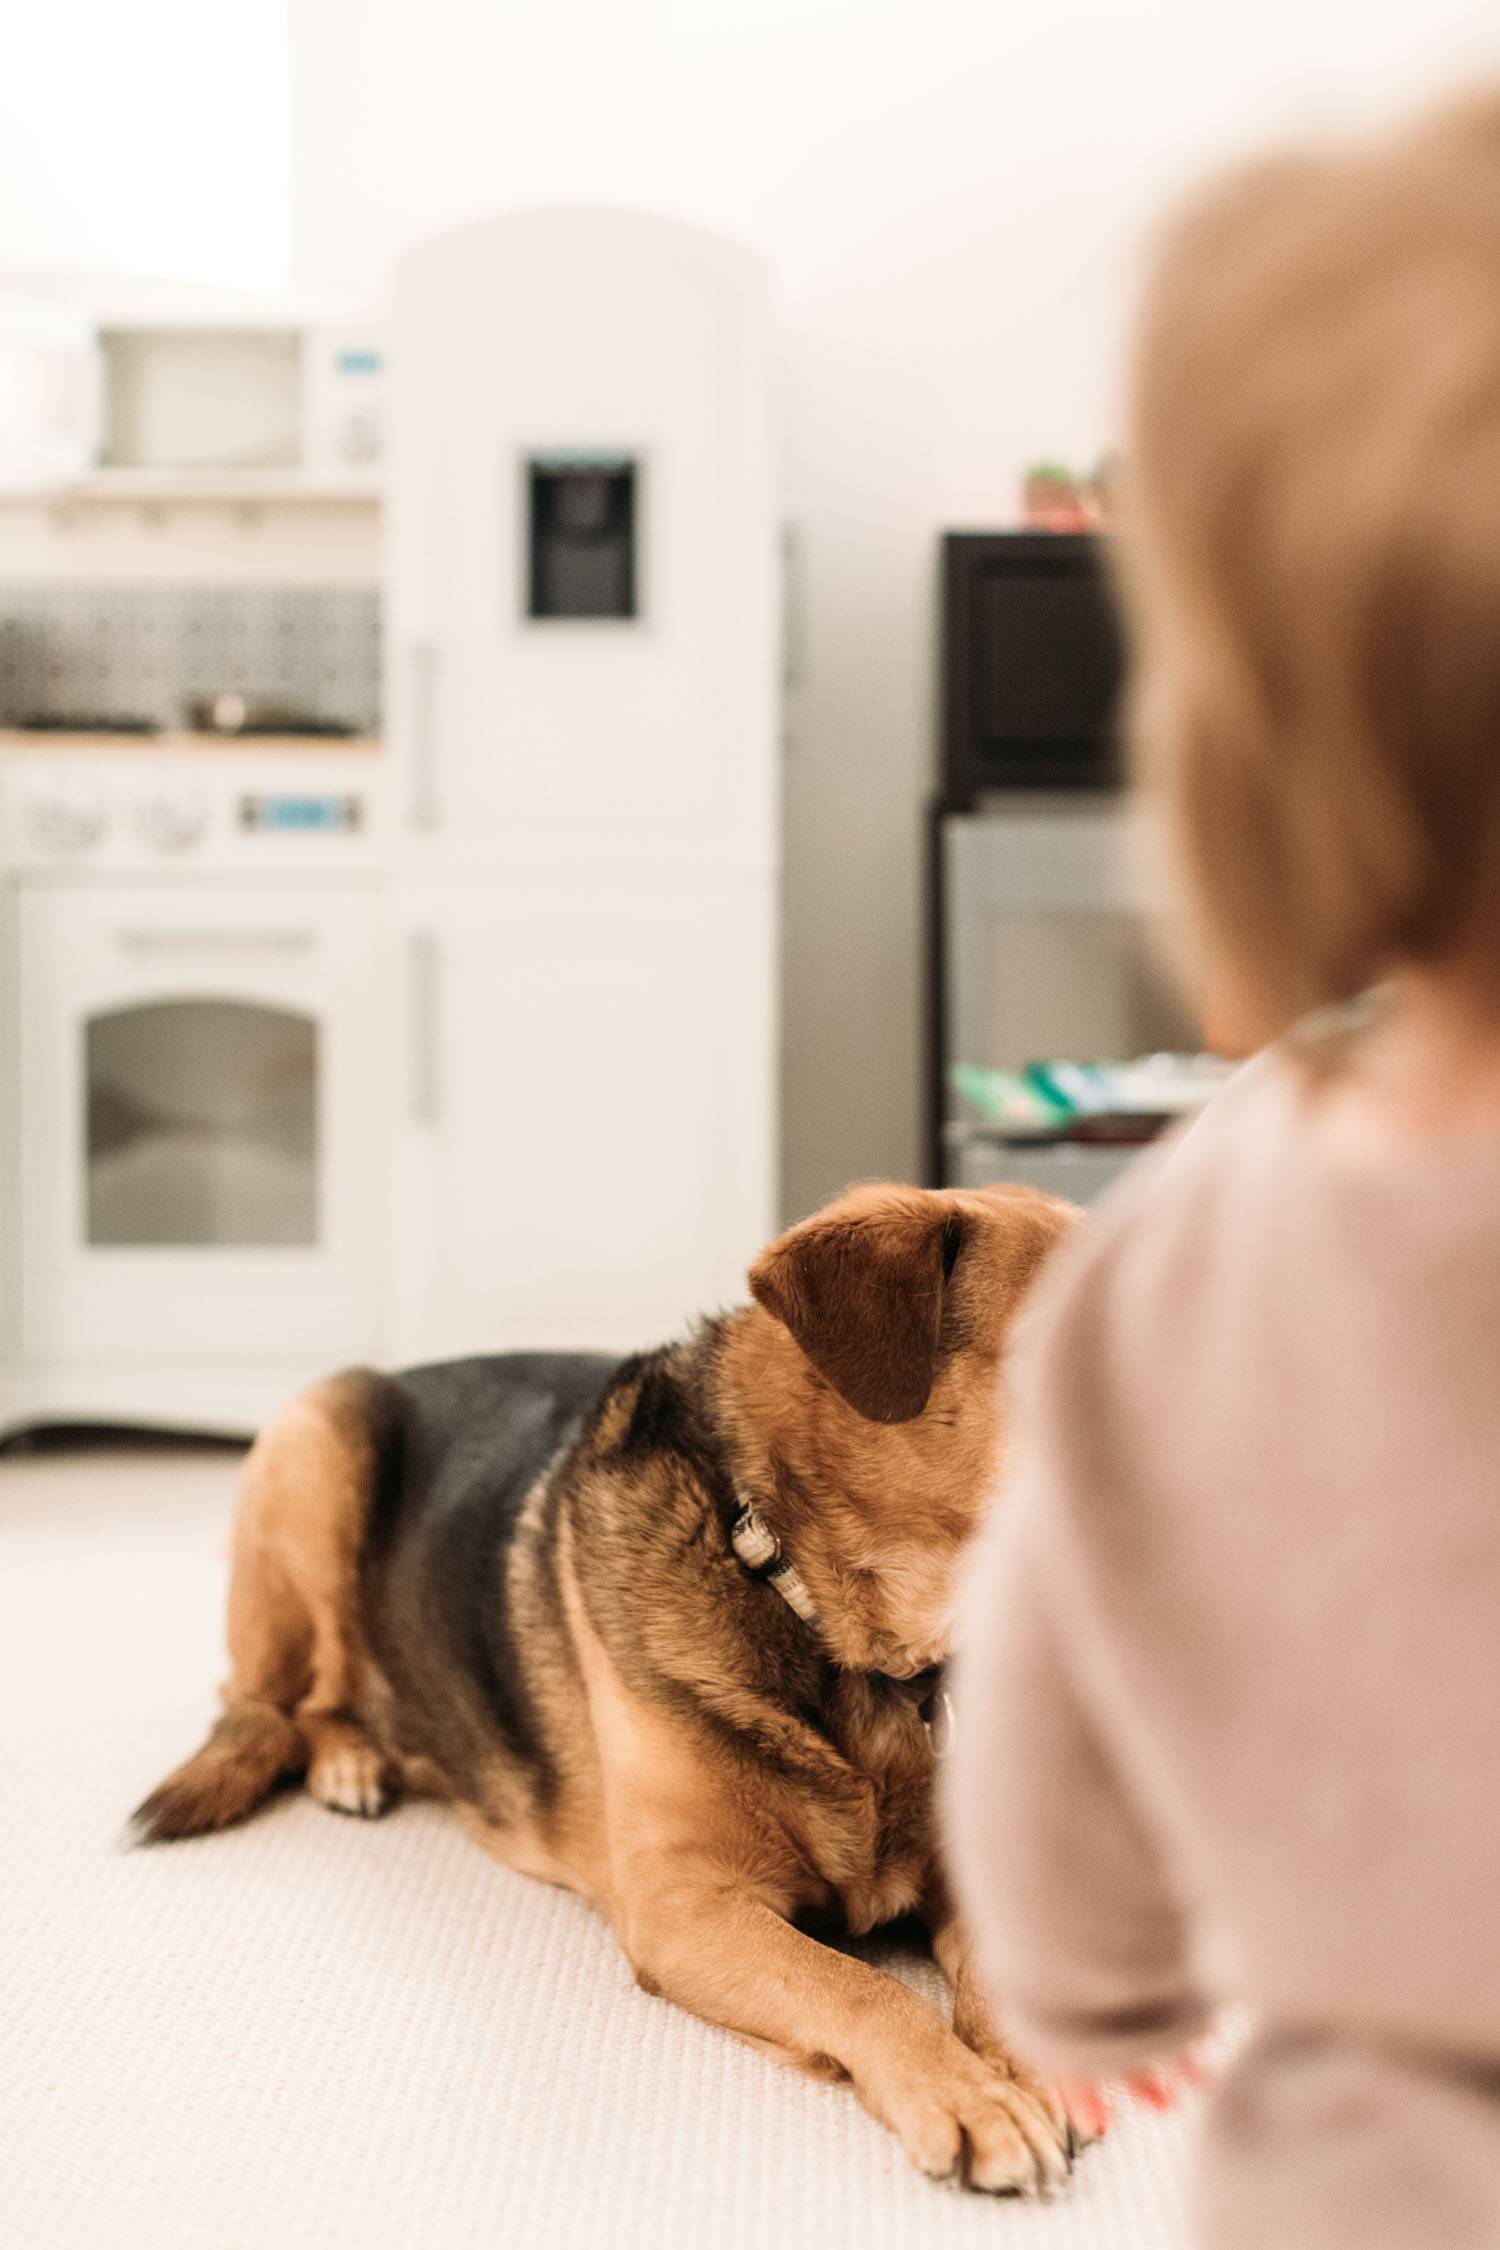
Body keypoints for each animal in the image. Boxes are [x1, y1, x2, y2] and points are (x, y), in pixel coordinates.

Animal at [132, 1179, 1079, 2196]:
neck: (817, 1610)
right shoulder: (685, 1906)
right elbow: (862, 1988)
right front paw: (967, 2093)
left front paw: (1034, 2064)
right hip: (311, 1452)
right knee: (278, 1702)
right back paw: (349, 1758)